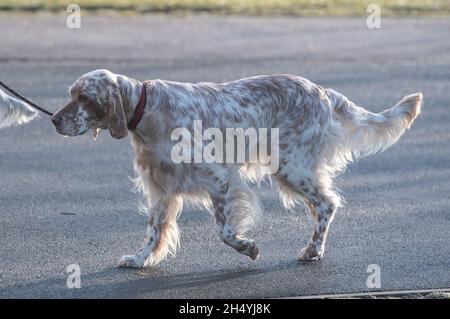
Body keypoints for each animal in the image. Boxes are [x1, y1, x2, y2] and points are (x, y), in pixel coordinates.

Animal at [51, 69, 424, 268]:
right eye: (71, 94)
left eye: (84, 98)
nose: (54, 119)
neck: (150, 109)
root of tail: (322, 91)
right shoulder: (162, 188)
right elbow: (154, 231)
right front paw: (140, 260)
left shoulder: (219, 179)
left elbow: (225, 231)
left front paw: (249, 247)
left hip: (291, 167)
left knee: (327, 204)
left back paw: (313, 250)